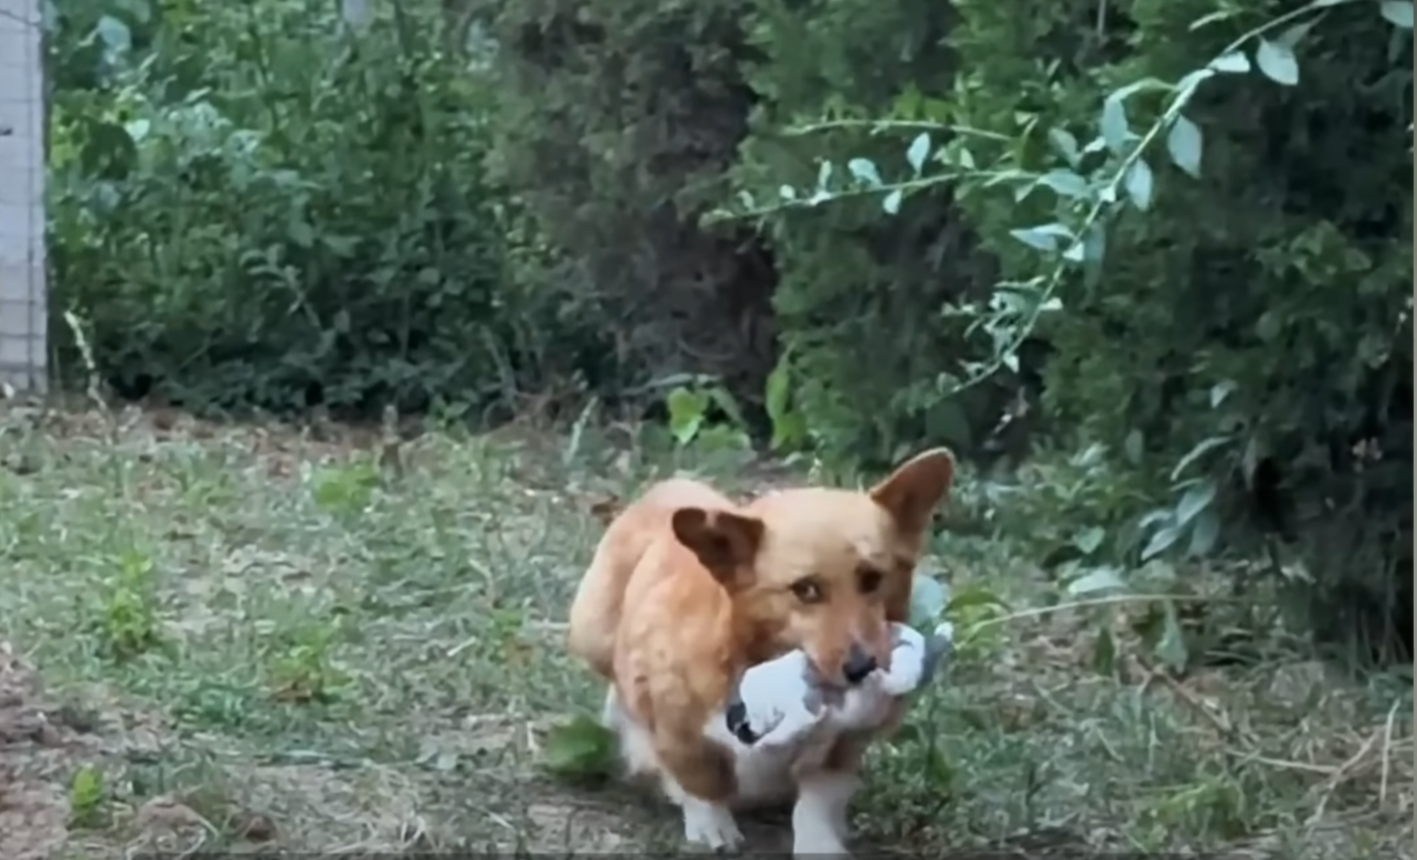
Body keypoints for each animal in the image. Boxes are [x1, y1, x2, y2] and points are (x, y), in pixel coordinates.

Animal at [565, 448, 955, 856]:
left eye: (872, 579)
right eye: (806, 590)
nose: (863, 667)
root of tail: (664, 489)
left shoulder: (844, 747)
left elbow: (818, 797)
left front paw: (820, 842)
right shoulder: (678, 729)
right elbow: (700, 780)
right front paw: (712, 826)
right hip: (591, 633)